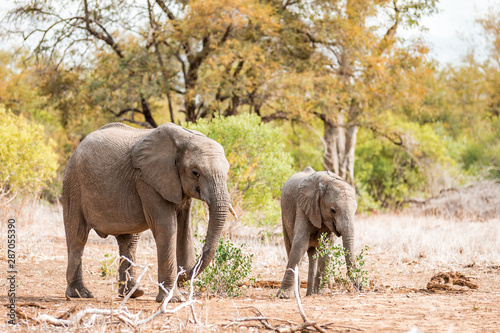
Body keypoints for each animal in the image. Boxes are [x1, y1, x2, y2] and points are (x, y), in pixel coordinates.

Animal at [62, 121, 232, 300]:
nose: (184, 274)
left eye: (227, 172)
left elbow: (184, 228)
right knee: (78, 237)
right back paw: (80, 294)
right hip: (73, 184)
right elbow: (166, 227)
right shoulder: (147, 181)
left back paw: (133, 293)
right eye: (195, 172)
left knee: (129, 241)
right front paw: (173, 299)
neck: (184, 138)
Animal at [276, 167, 358, 296]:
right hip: (284, 217)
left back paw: (310, 294)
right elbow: (300, 243)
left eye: (355, 210)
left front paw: (322, 292)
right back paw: (299, 294)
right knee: (290, 246)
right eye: (332, 210)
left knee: (312, 254)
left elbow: (326, 247)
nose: (361, 288)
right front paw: (284, 296)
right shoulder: (303, 206)